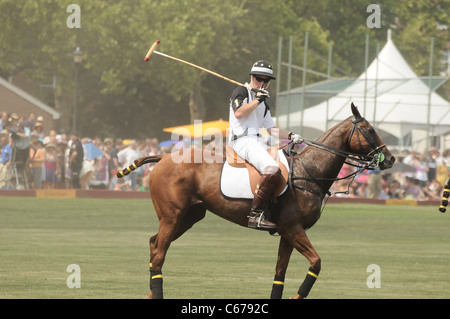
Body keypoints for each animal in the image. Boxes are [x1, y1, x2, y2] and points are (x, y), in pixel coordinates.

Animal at [118, 104, 394, 300]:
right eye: (370, 130)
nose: (390, 159)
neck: (309, 171)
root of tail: (163, 157)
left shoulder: (287, 232)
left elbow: (280, 272)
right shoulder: (293, 228)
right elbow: (316, 262)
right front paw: (297, 296)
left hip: (189, 216)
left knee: (154, 244)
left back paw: (150, 291)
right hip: (172, 215)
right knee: (159, 253)